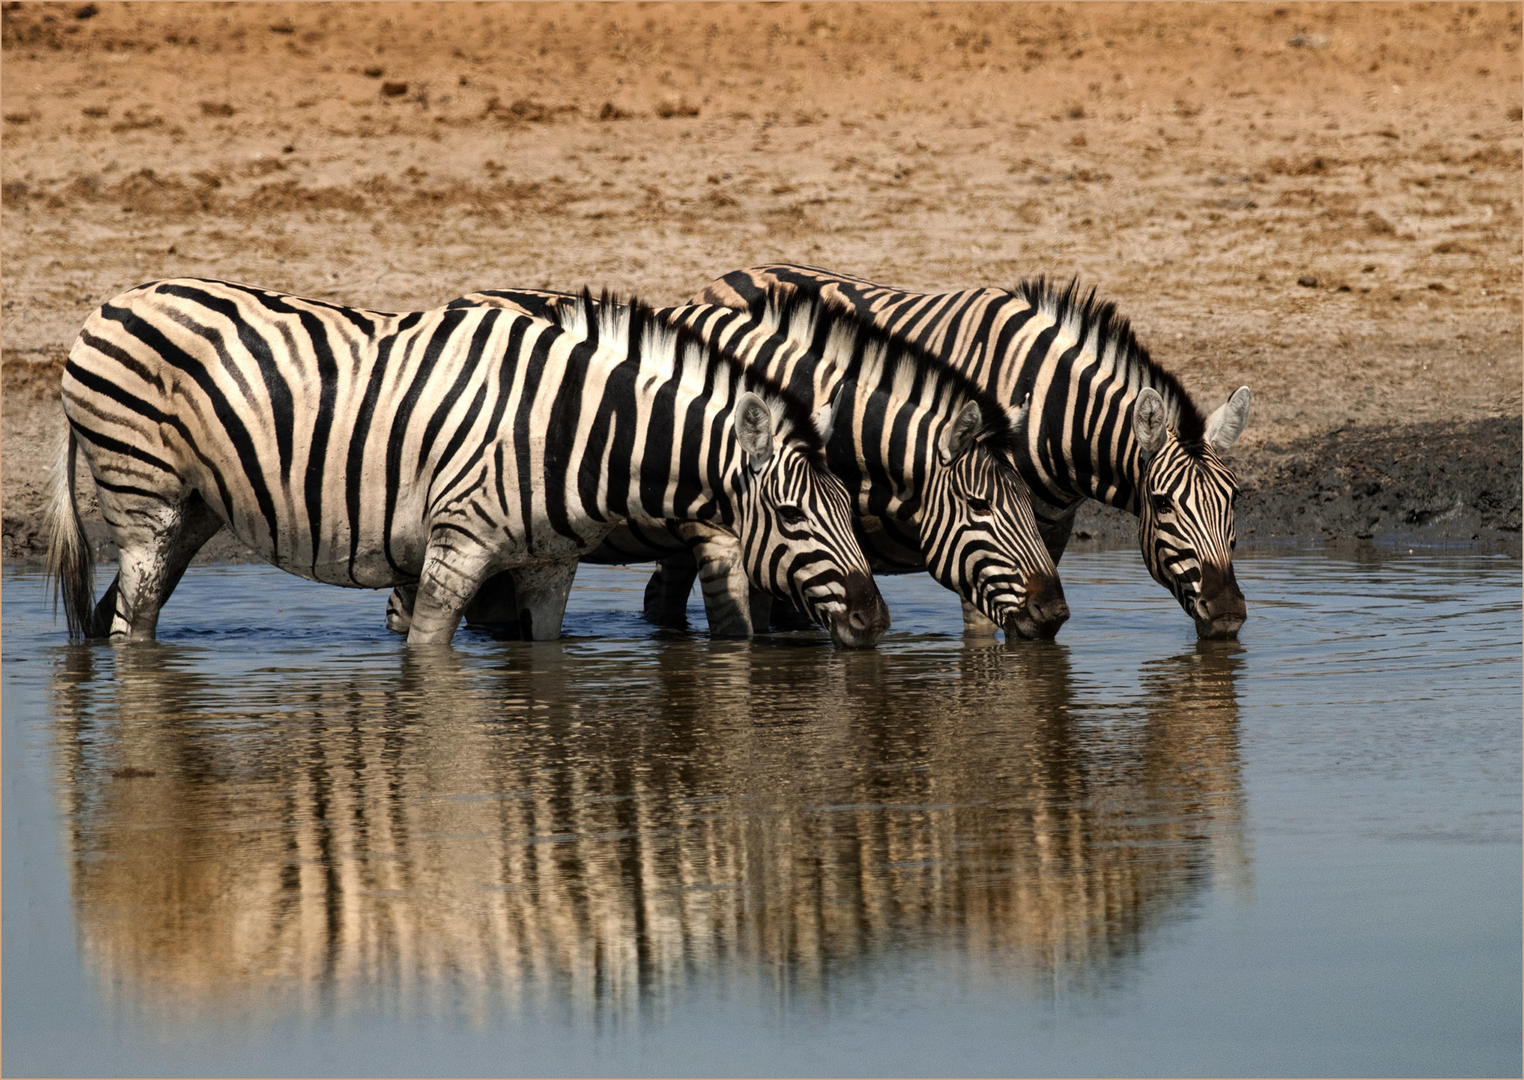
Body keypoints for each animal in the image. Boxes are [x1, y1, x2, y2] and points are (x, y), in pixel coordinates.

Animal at [47, 281, 890, 645]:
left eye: (854, 510)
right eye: (791, 515)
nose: (876, 620)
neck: (574, 428)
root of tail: (114, 301)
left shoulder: (551, 564)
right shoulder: (457, 546)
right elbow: (429, 657)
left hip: (191, 510)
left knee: (121, 614)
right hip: (144, 499)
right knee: (130, 624)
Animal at [691, 265, 1249, 636]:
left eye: (1235, 500)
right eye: (1162, 503)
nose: (1228, 614)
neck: (1047, 400)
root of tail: (726, 276)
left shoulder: (1046, 533)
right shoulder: (973, 531)